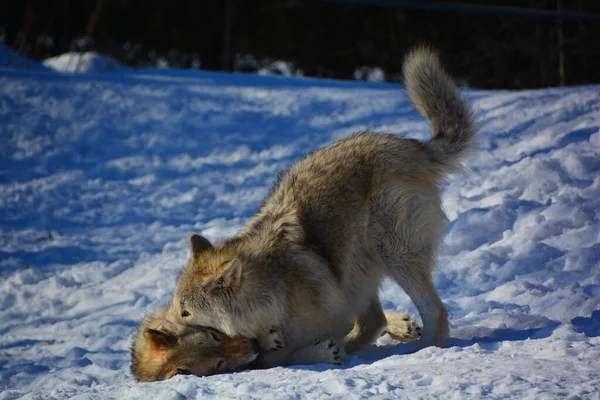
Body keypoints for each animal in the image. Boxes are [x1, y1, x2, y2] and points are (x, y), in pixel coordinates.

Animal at [168, 44, 478, 368]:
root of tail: (413, 146)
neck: (272, 297)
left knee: (432, 310)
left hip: (392, 253)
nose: (162, 332)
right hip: (357, 269)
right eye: (175, 306)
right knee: (374, 322)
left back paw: (421, 350)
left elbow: (293, 353)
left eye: (186, 312)